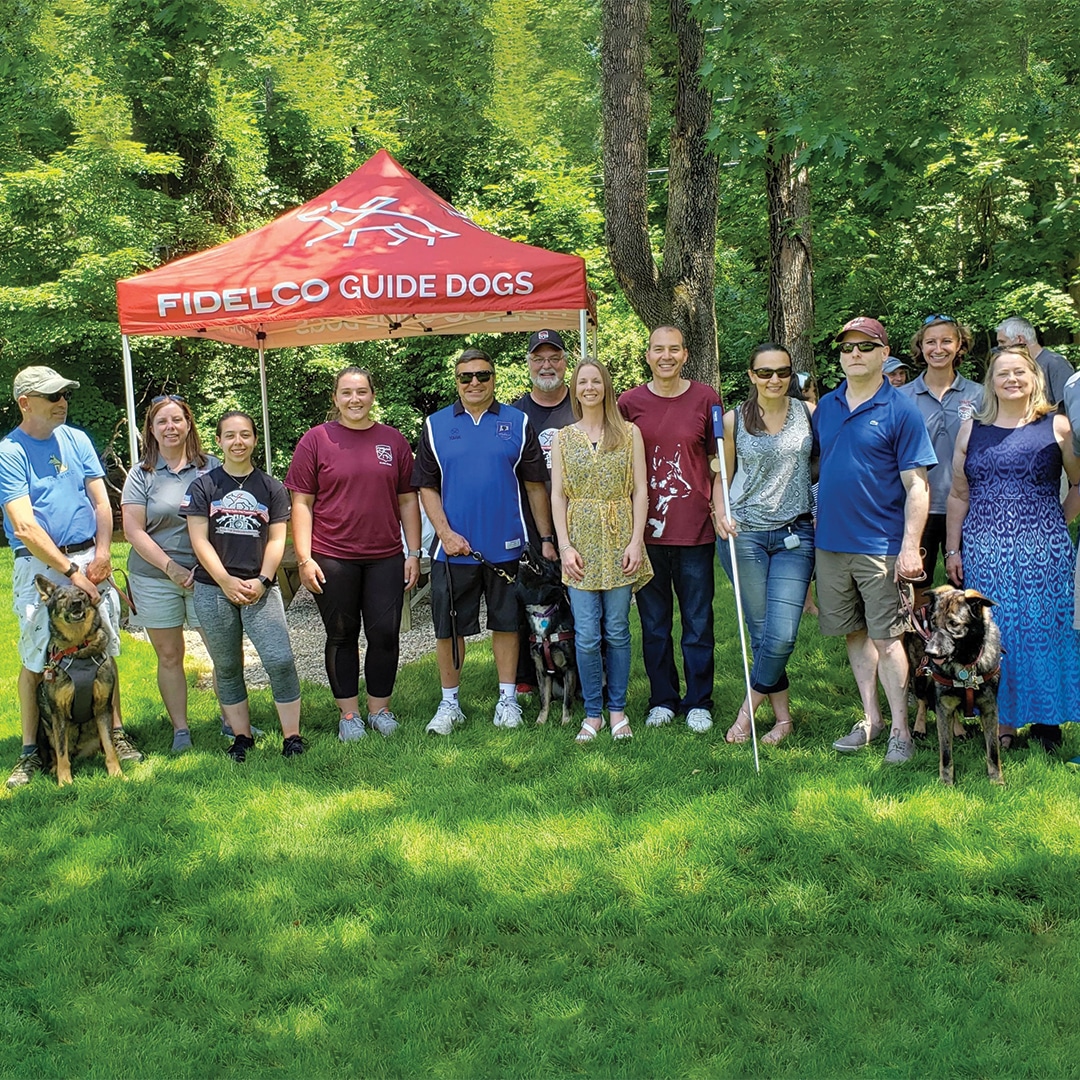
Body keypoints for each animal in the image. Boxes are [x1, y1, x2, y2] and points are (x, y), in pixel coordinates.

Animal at [35, 574, 122, 786]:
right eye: (61, 597)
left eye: (82, 593)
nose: (76, 603)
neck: (79, 648)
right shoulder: (59, 713)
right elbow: (61, 751)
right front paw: (65, 781)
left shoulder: (103, 708)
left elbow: (110, 747)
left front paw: (117, 774)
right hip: (44, 730)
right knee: (55, 753)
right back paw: (54, 768)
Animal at [518, 548, 578, 725]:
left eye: (544, 559)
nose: (526, 544)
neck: (543, 610)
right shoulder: (541, 670)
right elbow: (543, 699)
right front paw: (540, 723)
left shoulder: (569, 667)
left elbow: (567, 701)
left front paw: (565, 722)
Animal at [902, 583, 1002, 786]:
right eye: (933, 621)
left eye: (954, 624)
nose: (930, 652)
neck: (966, 662)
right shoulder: (943, 706)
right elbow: (946, 752)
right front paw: (946, 783)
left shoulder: (989, 708)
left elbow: (993, 751)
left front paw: (997, 781)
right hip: (919, 678)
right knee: (923, 702)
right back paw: (920, 727)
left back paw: (959, 730)